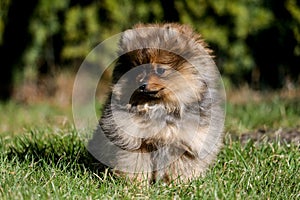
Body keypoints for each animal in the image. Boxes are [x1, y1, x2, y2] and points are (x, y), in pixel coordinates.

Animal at [89, 23, 225, 184]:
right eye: (137, 70)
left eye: (160, 70)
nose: (142, 85)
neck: (160, 106)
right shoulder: (136, 143)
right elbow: (136, 165)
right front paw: (137, 185)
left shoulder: (183, 145)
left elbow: (179, 168)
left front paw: (176, 184)